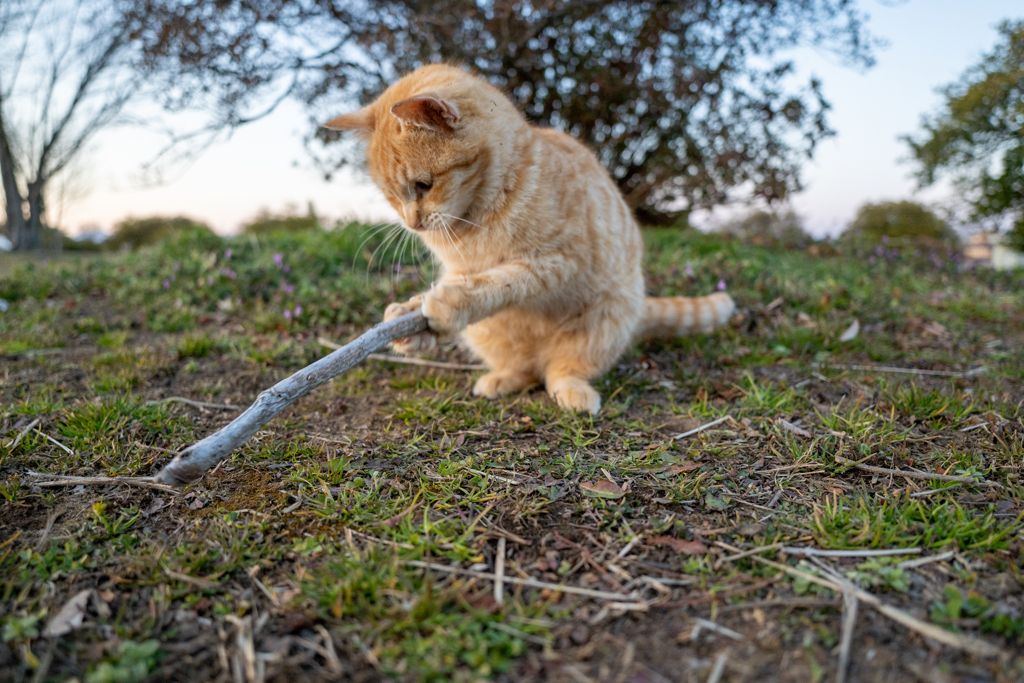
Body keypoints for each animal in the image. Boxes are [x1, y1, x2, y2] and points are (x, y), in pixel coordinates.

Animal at [323, 66, 733, 413]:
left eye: (424, 185)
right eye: (391, 197)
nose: (413, 224)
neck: (476, 217)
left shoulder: (559, 260)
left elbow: (501, 283)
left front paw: (452, 303)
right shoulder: (459, 268)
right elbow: (458, 285)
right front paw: (409, 318)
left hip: (604, 321)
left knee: (560, 370)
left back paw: (573, 394)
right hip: (488, 334)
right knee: (525, 369)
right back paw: (502, 380)